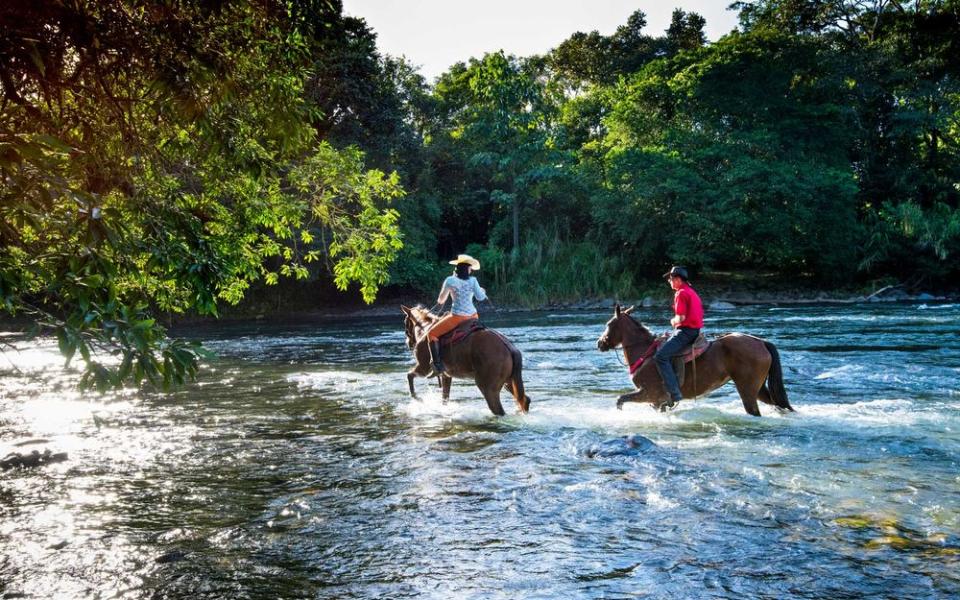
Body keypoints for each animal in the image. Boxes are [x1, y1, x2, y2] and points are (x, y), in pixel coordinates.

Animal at [400, 304, 528, 418]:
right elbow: (445, 397)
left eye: (405, 323)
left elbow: (409, 375)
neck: (425, 329)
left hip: (488, 388)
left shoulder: (423, 367)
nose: (408, 344)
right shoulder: (446, 375)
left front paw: (417, 398)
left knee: (498, 410)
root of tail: (509, 347)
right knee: (525, 400)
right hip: (509, 382)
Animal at [596, 302, 792, 414]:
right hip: (759, 389)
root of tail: (760, 342)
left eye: (608, 324)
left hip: (747, 390)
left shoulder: (649, 393)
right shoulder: (656, 401)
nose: (600, 343)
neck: (646, 353)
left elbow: (621, 399)